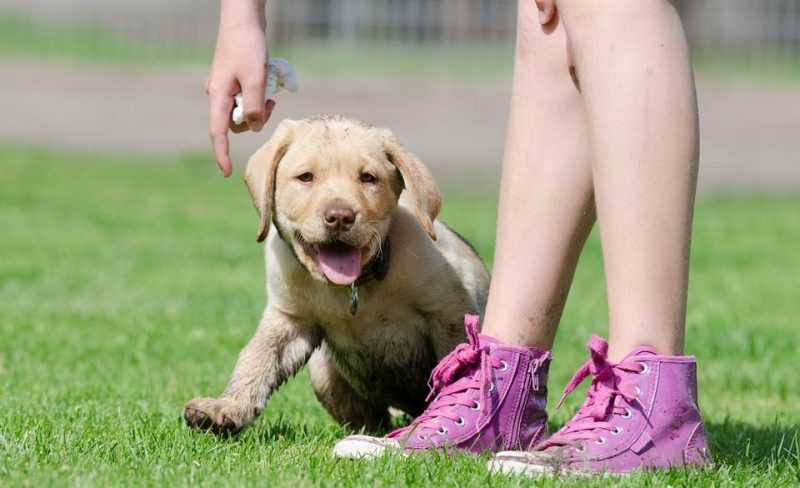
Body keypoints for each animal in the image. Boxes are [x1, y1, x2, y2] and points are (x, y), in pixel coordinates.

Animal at [184, 115, 490, 434]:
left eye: (368, 178)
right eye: (305, 177)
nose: (340, 217)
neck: (354, 286)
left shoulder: (449, 312)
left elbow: (456, 365)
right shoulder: (289, 319)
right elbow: (257, 359)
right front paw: (227, 407)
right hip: (323, 372)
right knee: (372, 419)